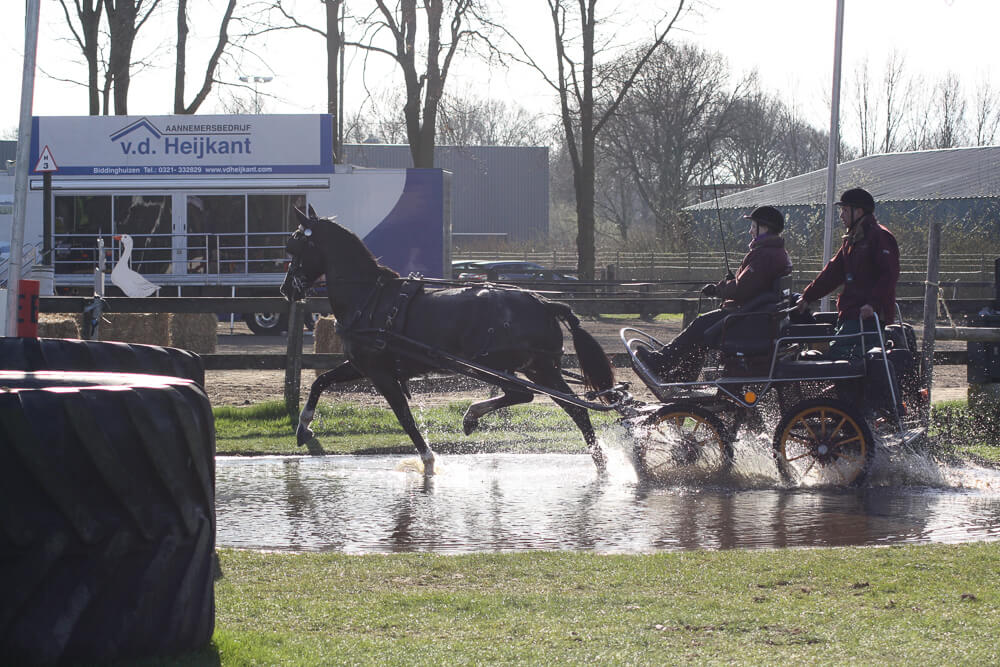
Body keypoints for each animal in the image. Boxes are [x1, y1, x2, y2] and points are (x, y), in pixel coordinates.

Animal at [278, 207, 612, 474]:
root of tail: (543, 302)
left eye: (295, 247)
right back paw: (600, 461)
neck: (370, 298)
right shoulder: (362, 366)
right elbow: (320, 381)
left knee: (525, 395)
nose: (285, 289)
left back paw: (472, 415)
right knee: (575, 408)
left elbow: (405, 418)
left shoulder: (380, 373)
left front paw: (428, 461)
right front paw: (303, 428)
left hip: (498, 366)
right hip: (540, 369)